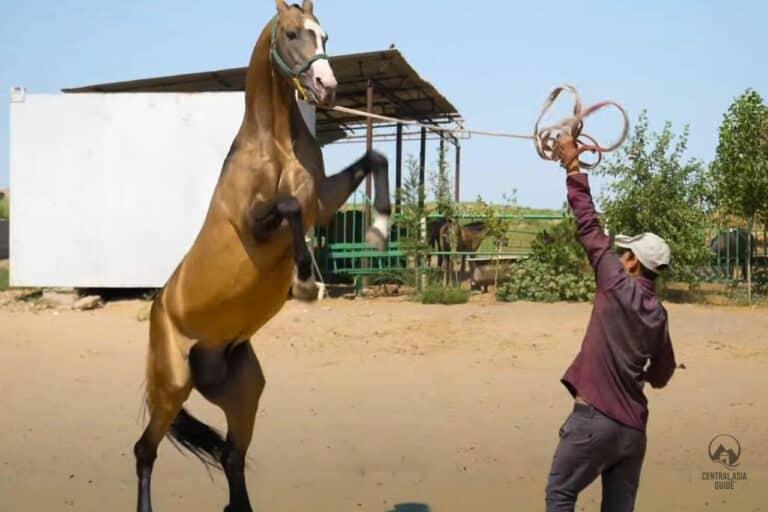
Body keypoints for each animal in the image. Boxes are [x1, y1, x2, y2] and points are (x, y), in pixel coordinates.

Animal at [133, 2, 391, 511]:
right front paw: (307, 282)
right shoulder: (259, 222)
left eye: (324, 35)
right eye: (291, 34)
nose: (327, 86)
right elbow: (287, 208)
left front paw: (378, 230)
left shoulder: (322, 200)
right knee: (144, 451)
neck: (273, 146)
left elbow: (375, 159)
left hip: (243, 392)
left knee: (231, 456)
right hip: (171, 384)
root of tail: (159, 309)